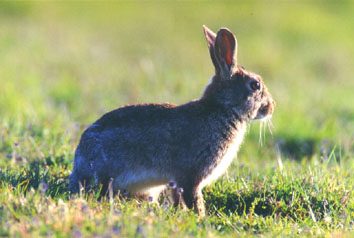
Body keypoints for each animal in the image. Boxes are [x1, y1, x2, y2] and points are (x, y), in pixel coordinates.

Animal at [68, 25, 274, 217]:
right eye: (255, 85)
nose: (272, 106)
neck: (223, 108)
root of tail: (78, 165)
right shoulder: (191, 176)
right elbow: (193, 198)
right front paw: (201, 217)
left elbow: (179, 198)